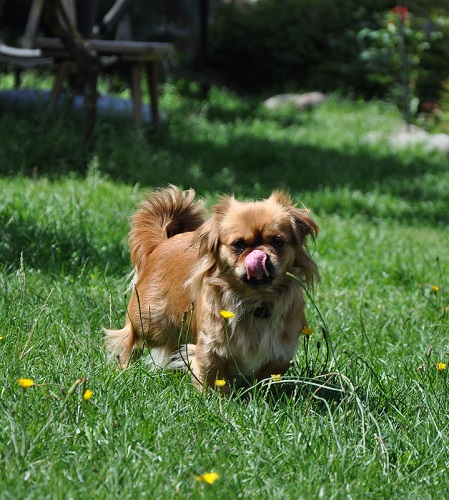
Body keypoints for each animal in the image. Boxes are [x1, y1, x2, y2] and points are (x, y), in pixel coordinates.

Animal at [105, 185, 319, 392]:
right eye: (239, 245)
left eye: (277, 241)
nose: (259, 254)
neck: (255, 301)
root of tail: (160, 245)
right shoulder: (212, 346)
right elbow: (212, 377)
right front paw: (217, 399)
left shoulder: (281, 348)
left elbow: (271, 372)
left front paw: (260, 392)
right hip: (151, 324)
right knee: (131, 341)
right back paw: (123, 371)